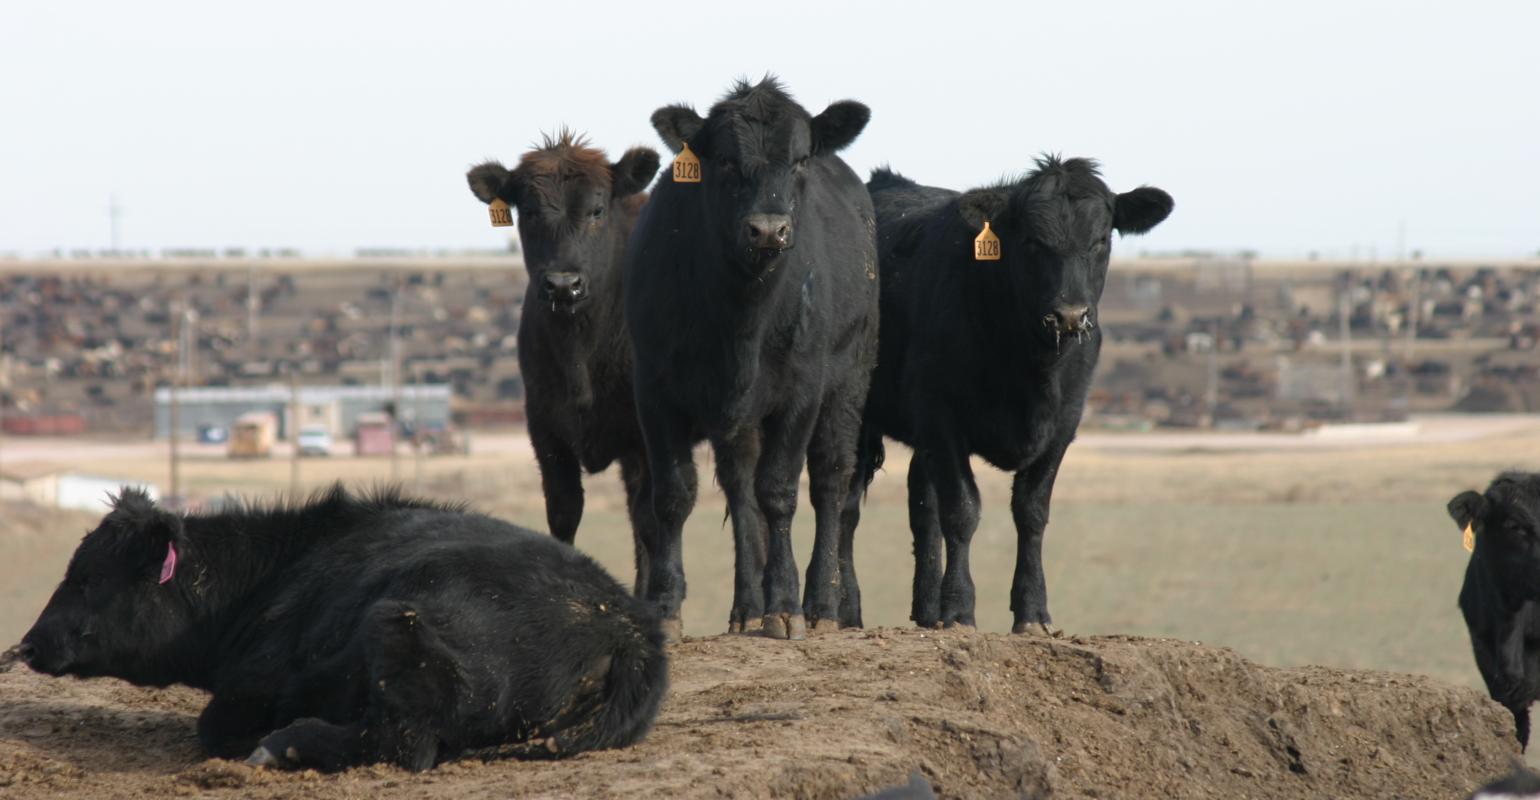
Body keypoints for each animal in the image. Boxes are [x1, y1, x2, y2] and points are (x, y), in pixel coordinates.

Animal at [15, 484, 668, 773]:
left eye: (89, 578)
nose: (29, 642)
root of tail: (627, 626)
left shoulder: (248, 691)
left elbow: (214, 725)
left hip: (395, 626)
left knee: (403, 744)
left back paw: (285, 744)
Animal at [465, 133, 665, 594]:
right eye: (530, 211)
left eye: (597, 210)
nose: (562, 284)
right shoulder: (545, 427)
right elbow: (564, 512)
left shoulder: (648, 435)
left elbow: (652, 520)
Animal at [625, 75, 887, 638]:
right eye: (725, 160)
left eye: (800, 160)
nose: (768, 230)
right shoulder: (653, 392)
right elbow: (676, 495)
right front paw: (666, 605)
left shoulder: (801, 392)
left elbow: (780, 491)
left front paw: (785, 604)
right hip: (740, 420)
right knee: (740, 487)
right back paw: (747, 607)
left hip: (849, 382)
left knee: (829, 482)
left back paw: (822, 605)